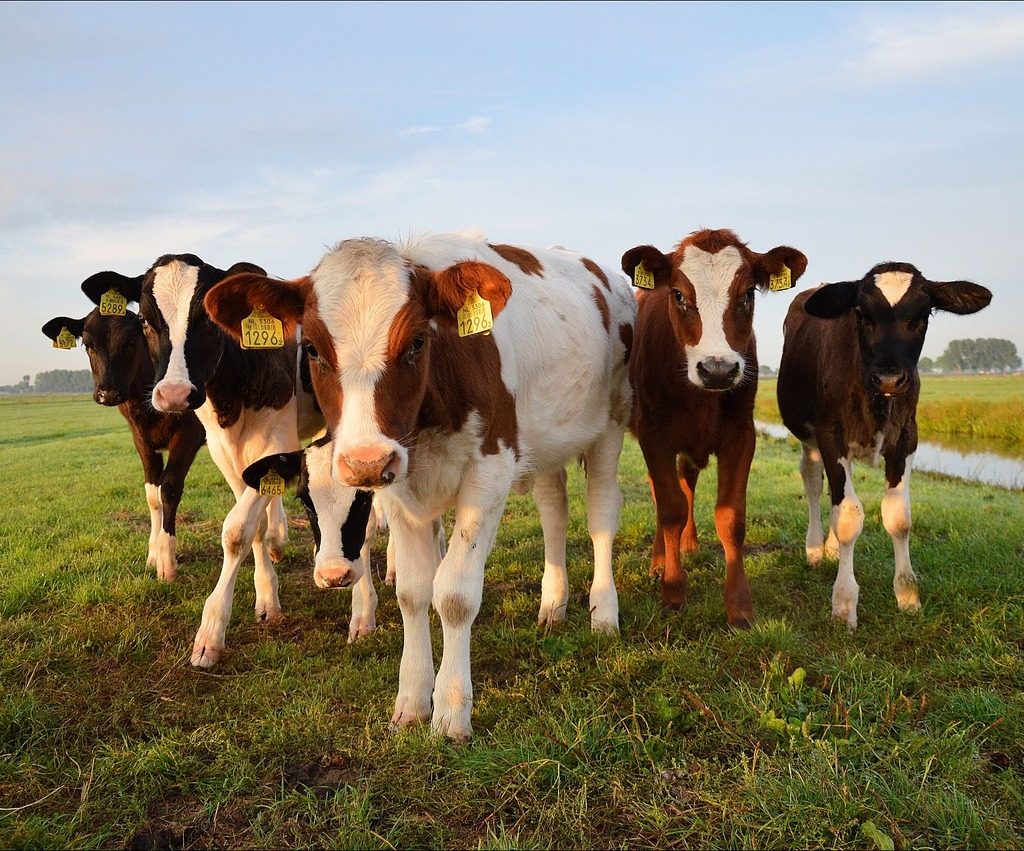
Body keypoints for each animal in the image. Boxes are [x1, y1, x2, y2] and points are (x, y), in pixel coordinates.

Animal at [41, 273, 206, 581]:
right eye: (88, 345)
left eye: (131, 342)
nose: (107, 393)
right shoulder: (140, 438)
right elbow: (152, 494)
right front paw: (153, 555)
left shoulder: (189, 433)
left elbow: (169, 487)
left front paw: (167, 561)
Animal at [110, 253, 325, 667]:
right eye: (144, 320)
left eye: (208, 319)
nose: (174, 394)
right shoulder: (223, 450)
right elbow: (254, 524)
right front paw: (267, 595)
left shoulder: (274, 440)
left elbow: (237, 529)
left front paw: (210, 632)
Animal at [203, 232, 636, 739]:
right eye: (309, 348)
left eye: (416, 342)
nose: (365, 460)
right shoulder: (398, 485)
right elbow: (413, 592)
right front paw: (412, 700)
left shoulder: (491, 471)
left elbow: (454, 593)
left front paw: (451, 710)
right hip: (547, 441)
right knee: (553, 510)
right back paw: (553, 603)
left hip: (611, 422)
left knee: (601, 514)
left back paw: (604, 612)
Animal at [622, 228, 808, 627]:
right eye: (678, 294)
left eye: (748, 293)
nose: (718, 370)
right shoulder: (653, 434)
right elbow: (670, 508)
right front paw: (673, 591)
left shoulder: (741, 435)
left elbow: (730, 517)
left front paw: (740, 606)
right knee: (663, 493)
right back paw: (659, 560)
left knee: (687, 480)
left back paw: (689, 544)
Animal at [776, 261, 992, 629]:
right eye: (861, 314)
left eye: (923, 315)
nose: (890, 378)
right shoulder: (831, 435)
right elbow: (849, 516)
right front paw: (844, 603)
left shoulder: (906, 437)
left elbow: (897, 517)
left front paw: (907, 595)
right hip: (808, 437)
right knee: (814, 483)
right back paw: (816, 549)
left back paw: (830, 548)